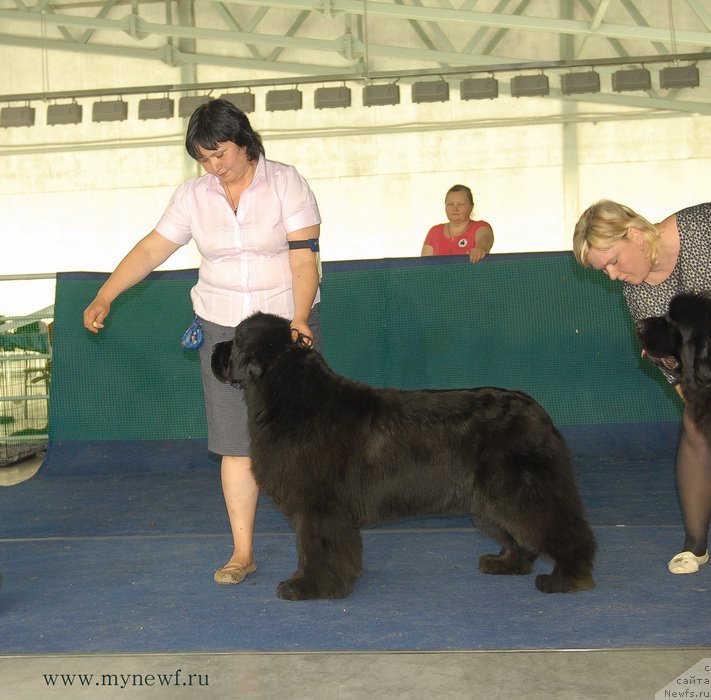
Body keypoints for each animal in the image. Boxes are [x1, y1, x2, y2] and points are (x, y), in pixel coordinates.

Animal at [211, 314, 596, 600]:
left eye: (236, 341)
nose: (214, 347)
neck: (292, 396)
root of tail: (537, 411)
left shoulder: (319, 507)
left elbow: (315, 548)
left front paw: (309, 587)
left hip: (521, 490)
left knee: (563, 528)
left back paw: (567, 578)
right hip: (492, 500)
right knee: (520, 537)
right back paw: (506, 564)